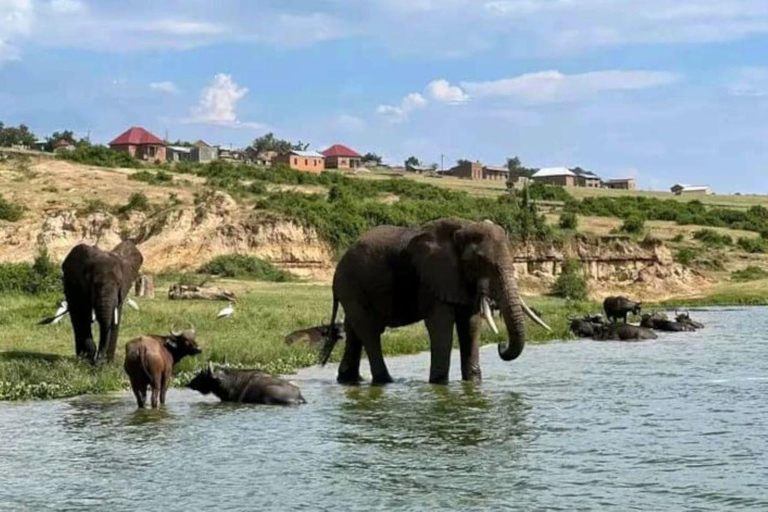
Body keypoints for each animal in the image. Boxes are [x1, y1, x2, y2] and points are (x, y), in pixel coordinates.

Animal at [320, 216, 548, 384]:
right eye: (480, 261)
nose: (501, 345)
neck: (463, 228)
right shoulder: (432, 279)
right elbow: (440, 325)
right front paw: (439, 384)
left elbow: (471, 325)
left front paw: (473, 383)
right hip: (351, 285)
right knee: (369, 332)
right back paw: (385, 381)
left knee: (354, 331)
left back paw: (349, 380)